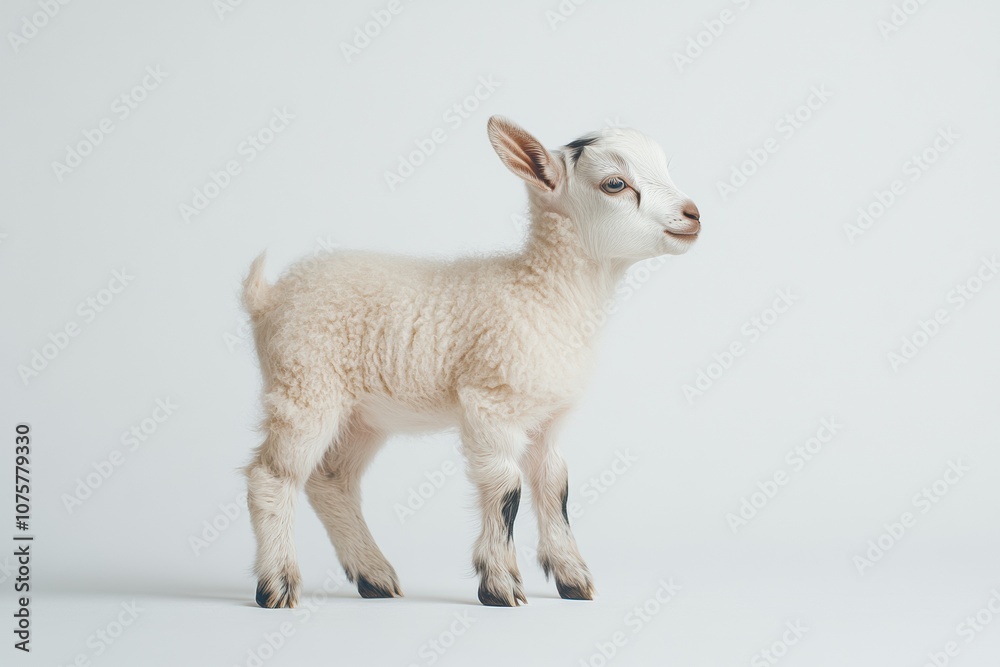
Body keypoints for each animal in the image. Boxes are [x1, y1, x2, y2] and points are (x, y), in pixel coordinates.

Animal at [243, 116, 700, 608]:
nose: (694, 214)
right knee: (271, 477)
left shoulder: (547, 418)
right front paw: (500, 584)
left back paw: (374, 576)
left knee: (331, 481)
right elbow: (506, 489)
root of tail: (268, 300)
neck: (541, 291)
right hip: (304, 384)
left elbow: (555, 486)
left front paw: (572, 578)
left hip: (361, 415)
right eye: (615, 183)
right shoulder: (490, 403)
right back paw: (277, 584)